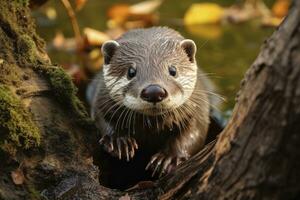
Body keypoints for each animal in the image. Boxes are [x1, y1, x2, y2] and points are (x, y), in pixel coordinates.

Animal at [88, 26, 212, 180]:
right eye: (131, 72)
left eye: (173, 70)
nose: (154, 91)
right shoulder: (100, 98)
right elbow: (101, 117)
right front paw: (119, 141)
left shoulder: (198, 107)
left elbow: (194, 132)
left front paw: (168, 158)